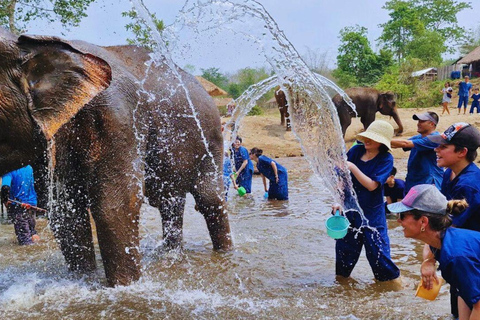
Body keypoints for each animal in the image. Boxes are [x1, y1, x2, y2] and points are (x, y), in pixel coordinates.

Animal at [0, 28, 232, 288]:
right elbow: (66, 211)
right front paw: (83, 279)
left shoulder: (119, 118)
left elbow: (115, 205)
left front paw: (125, 287)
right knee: (170, 202)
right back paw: (171, 255)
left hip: (210, 138)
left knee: (209, 199)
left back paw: (225, 254)